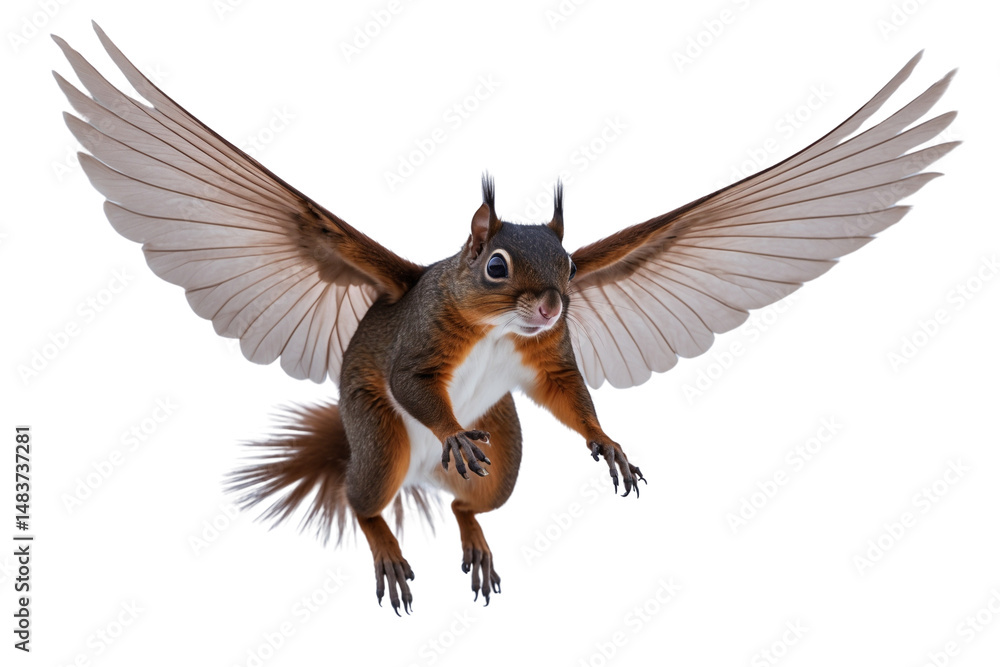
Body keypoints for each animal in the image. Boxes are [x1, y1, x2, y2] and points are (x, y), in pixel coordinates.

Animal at [55, 24, 957, 614]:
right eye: (495, 266)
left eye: (572, 267)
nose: (553, 301)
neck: (496, 328)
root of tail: (415, 476)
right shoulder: (417, 349)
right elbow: (416, 380)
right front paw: (452, 425)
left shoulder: (547, 357)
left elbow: (570, 394)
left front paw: (607, 441)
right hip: (380, 438)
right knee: (366, 500)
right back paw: (397, 536)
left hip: (508, 453)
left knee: (468, 503)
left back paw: (473, 535)